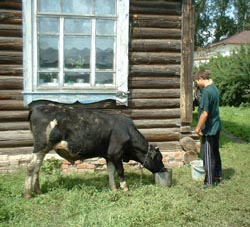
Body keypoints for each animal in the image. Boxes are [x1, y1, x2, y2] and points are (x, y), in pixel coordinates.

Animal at [23, 103, 167, 198]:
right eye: (159, 158)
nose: (164, 169)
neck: (127, 132)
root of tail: (36, 107)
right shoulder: (116, 153)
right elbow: (120, 171)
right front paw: (125, 188)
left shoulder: (108, 155)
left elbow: (111, 171)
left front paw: (113, 188)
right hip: (40, 146)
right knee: (31, 167)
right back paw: (27, 194)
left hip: (43, 150)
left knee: (37, 168)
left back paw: (38, 191)